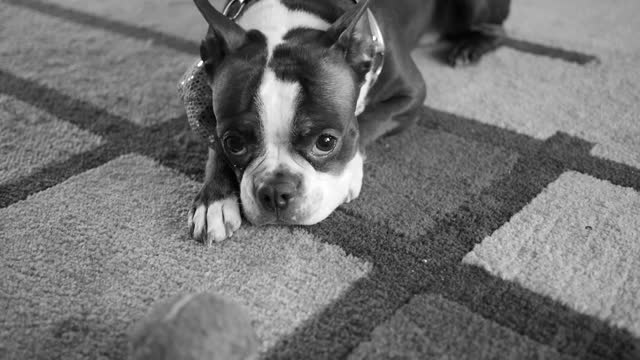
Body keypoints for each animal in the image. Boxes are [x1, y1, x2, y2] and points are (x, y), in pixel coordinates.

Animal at [185, 0, 510, 245]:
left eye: (326, 142)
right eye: (234, 143)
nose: (276, 192)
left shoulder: (412, 93)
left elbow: (366, 122)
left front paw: (351, 172)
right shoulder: (210, 110)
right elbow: (213, 149)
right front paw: (214, 200)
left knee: (497, 30)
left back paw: (469, 47)